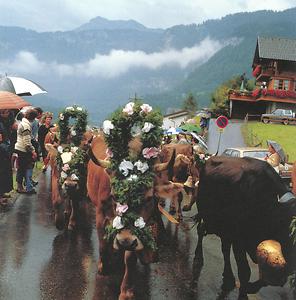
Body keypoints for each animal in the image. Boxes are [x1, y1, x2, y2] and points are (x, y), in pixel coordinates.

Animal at [86, 135, 183, 300]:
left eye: (150, 198)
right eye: (114, 196)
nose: (124, 241)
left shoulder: (135, 233)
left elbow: (130, 259)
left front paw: (127, 291)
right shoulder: (100, 216)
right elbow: (103, 244)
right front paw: (103, 267)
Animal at [194, 156, 296, 298]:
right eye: (290, 227)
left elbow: (273, 278)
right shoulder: (239, 240)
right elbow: (245, 272)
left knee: (224, 248)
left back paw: (228, 277)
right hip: (207, 214)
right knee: (201, 229)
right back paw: (198, 257)